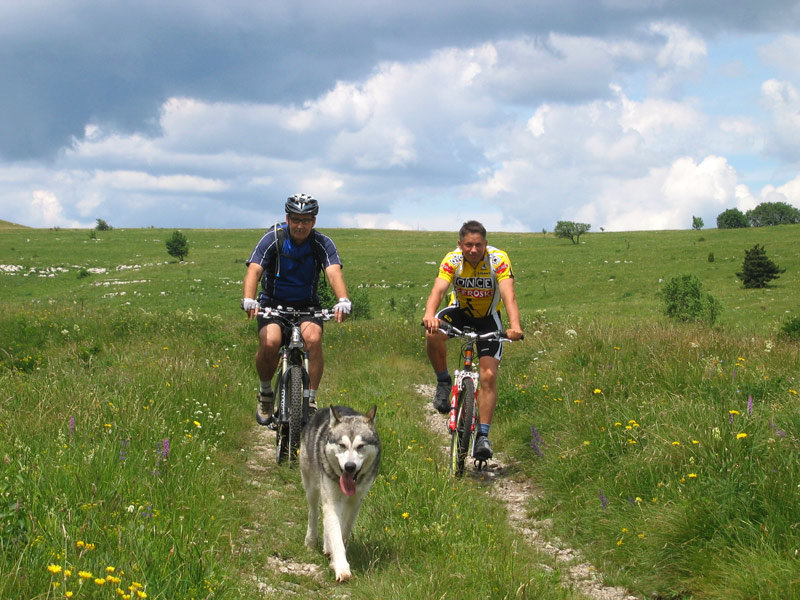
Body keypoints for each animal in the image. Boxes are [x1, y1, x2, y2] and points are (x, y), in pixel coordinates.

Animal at [300, 404, 382, 580]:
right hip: (311, 487)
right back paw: (311, 541)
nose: (349, 467)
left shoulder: (355, 502)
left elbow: (343, 531)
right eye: (342, 445)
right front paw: (341, 567)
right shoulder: (331, 500)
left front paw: (335, 557)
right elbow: (335, 534)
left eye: (360, 446)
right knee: (314, 512)